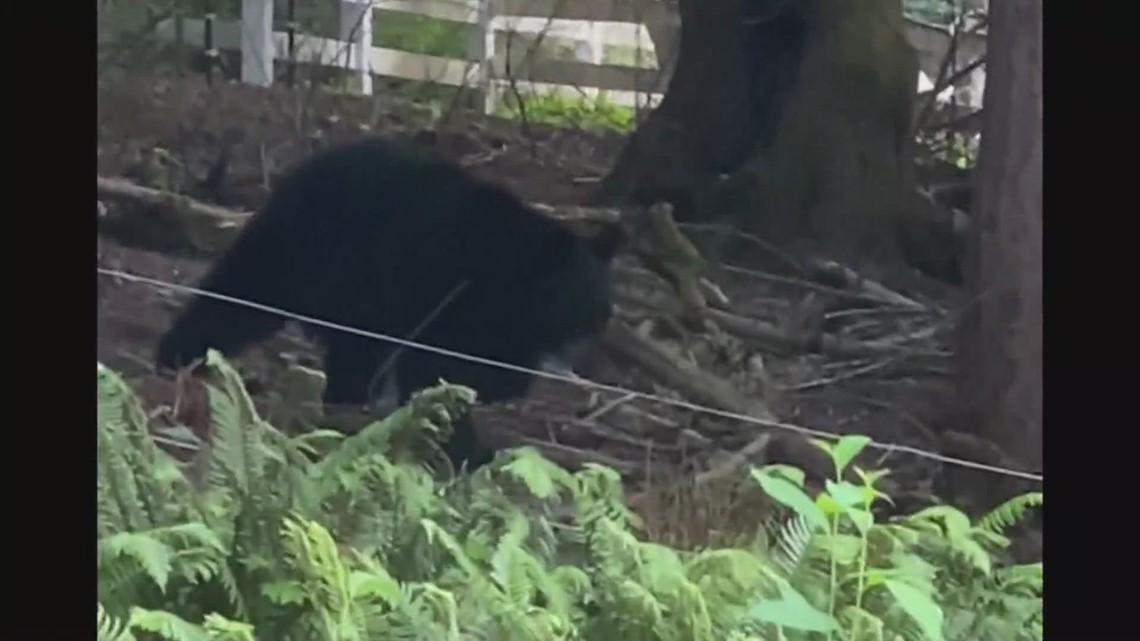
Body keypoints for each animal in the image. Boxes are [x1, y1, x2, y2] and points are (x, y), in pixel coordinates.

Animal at [156, 136, 621, 471]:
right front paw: (469, 447)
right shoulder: (443, 288)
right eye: (578, 308)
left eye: (601, 311)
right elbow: (435, 368)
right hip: (315, 251)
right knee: (245, 295)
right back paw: (179, 355)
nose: (582, 350)